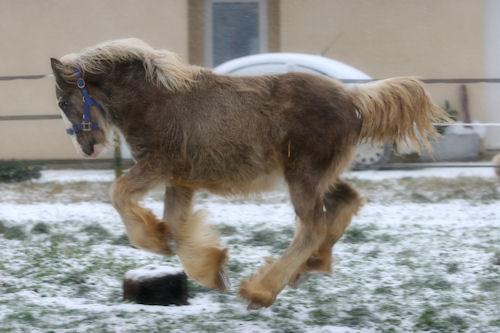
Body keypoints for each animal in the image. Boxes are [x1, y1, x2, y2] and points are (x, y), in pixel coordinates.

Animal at [51, 37, 450, 308]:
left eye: (63, 101)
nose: (87, 147)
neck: (156, 100)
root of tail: (354, 99)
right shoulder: (181, 179)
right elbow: (177, 228)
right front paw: (210, 268)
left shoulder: (159, 165)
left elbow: (119, 194)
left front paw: (154, 239)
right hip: (319, 175)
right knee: (345, 202)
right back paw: (309, 267)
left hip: (302, 175)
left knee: (313, 226)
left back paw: (261, 290)